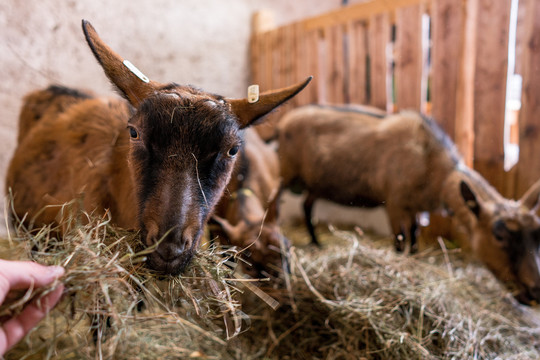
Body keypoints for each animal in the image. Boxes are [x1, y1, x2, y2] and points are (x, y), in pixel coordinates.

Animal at [280, 105, 540, 304]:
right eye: (499, 236)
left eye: (536, 234)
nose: (534, 290)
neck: (433, 167)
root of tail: (284, 122)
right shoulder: (394, 204)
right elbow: (399, 240)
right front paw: (395, 266)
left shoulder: (416, 207)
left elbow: (414, 238)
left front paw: (413, 260)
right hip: (285, 171)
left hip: (315, 183)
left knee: (306, 206)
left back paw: (316, 242)